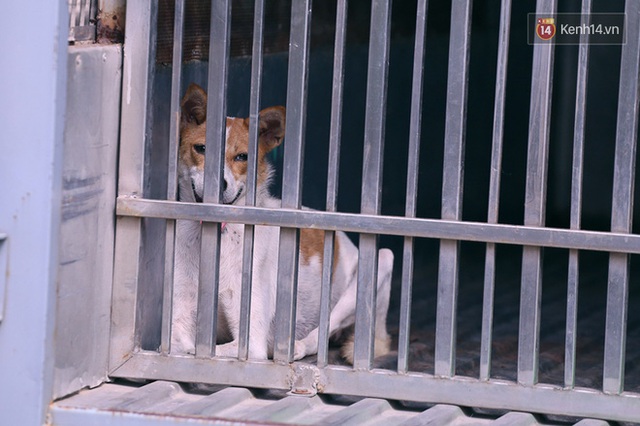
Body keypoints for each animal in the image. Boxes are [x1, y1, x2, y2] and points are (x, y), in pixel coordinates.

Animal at [170, 84, 392, 362]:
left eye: (242, 156)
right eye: (201, 148)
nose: (219, 184)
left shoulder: (250, 341)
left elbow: (209, 351)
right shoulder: (178, 321)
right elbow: (182, 345)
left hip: (381, 261)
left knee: (319, 336)